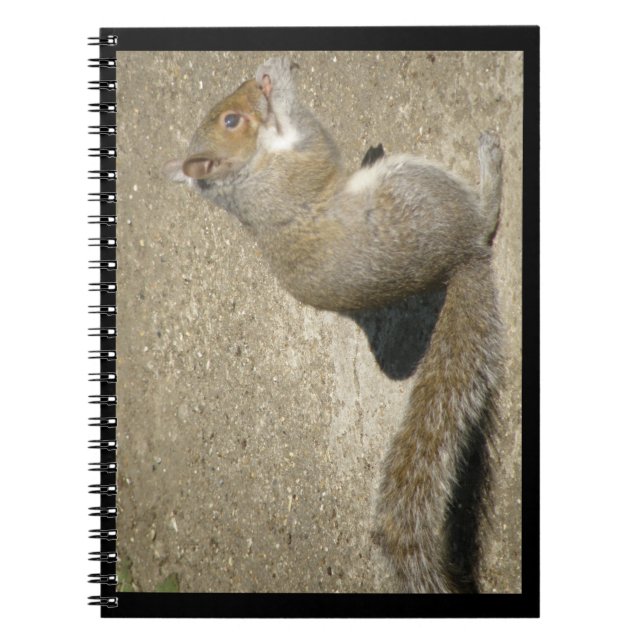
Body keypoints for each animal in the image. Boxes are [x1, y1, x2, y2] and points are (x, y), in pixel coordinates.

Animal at [166, 56, 503, 593]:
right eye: (231, 122)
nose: (252, 86)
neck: (244, 179)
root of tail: (459, 258)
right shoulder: (296, 165)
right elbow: (310, 131)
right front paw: (276, 79)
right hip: (417, 188)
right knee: (485, 219)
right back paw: (489, 168)